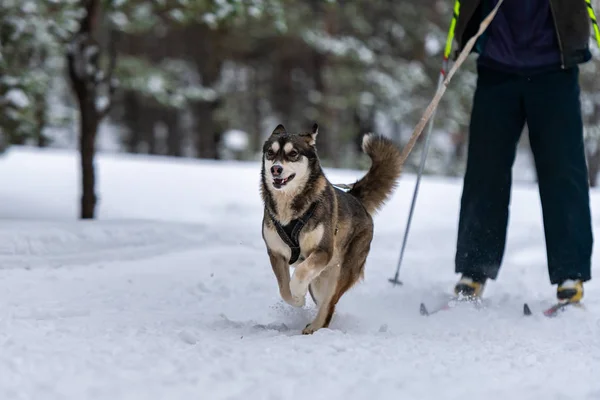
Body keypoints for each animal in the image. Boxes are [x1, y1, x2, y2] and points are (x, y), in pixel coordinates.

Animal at [258, 122, 404, 334]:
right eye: (270, 152)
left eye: (293, 153)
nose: (276, 169)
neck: (291, 211)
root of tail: (355, 198)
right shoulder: (276, 254)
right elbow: (284, 289)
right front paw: (297, 299)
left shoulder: (323, 251)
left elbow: (300, 272)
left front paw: (297, 290)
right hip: (319, 282)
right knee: (324, 302)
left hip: (340, 273)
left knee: (329, 303)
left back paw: (315, 326)